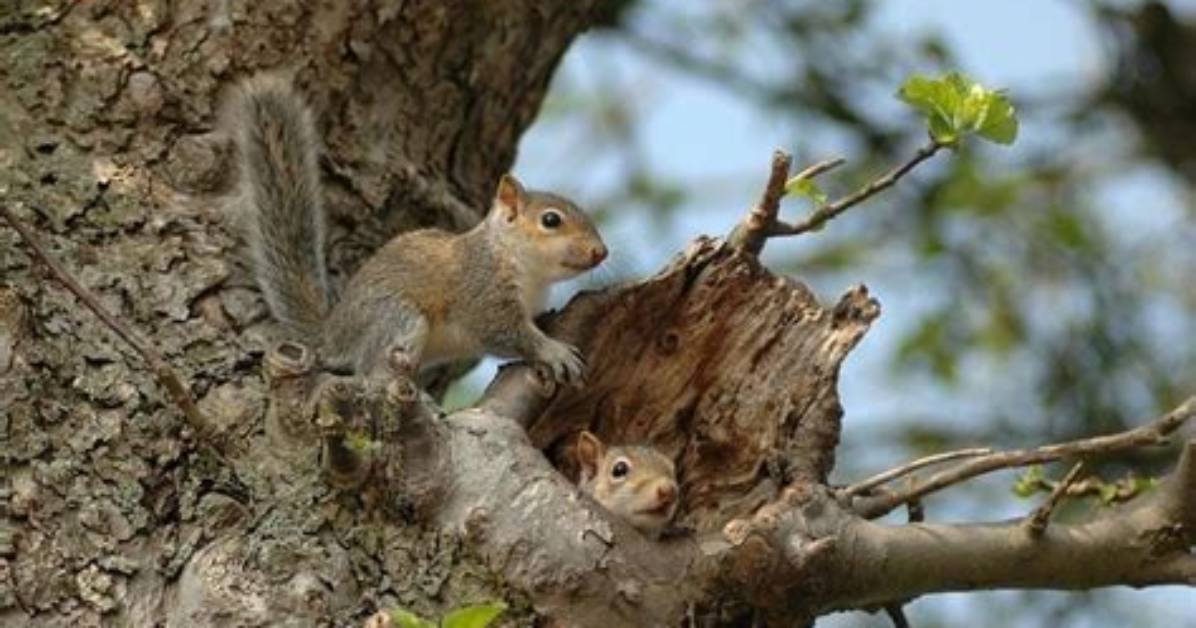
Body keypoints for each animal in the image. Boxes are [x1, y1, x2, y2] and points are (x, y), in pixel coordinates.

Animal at [223, 75, 607, 382]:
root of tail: (333, 334)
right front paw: (553, 351)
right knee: (368, 370)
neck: (523, 267)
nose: (601, 252)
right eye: (551, 220)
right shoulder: (482, 292)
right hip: (397, 318)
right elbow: (506, 333)